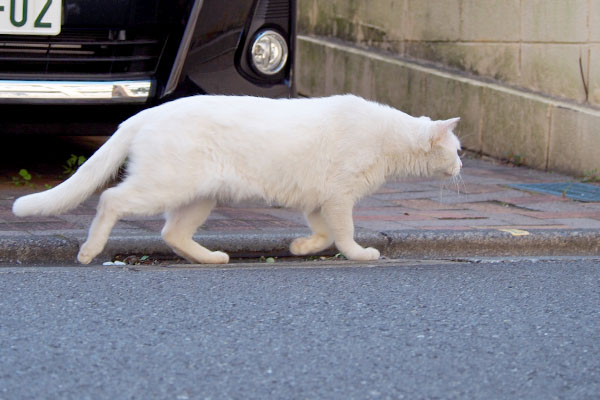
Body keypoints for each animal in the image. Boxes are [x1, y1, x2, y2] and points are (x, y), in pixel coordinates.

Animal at [12, 95, 464, 264]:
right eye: (458, 151)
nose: (463, 167)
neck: (389, 140)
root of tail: (145, 112)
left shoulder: (318, 200)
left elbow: (322, 234)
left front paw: (301, 248)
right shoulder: (338, 198)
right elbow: (345, 234)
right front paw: (360, 254)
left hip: (199, 198)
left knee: (172, 233)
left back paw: (212, 258)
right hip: (164, 186)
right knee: (111, 201)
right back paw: (89, 251)